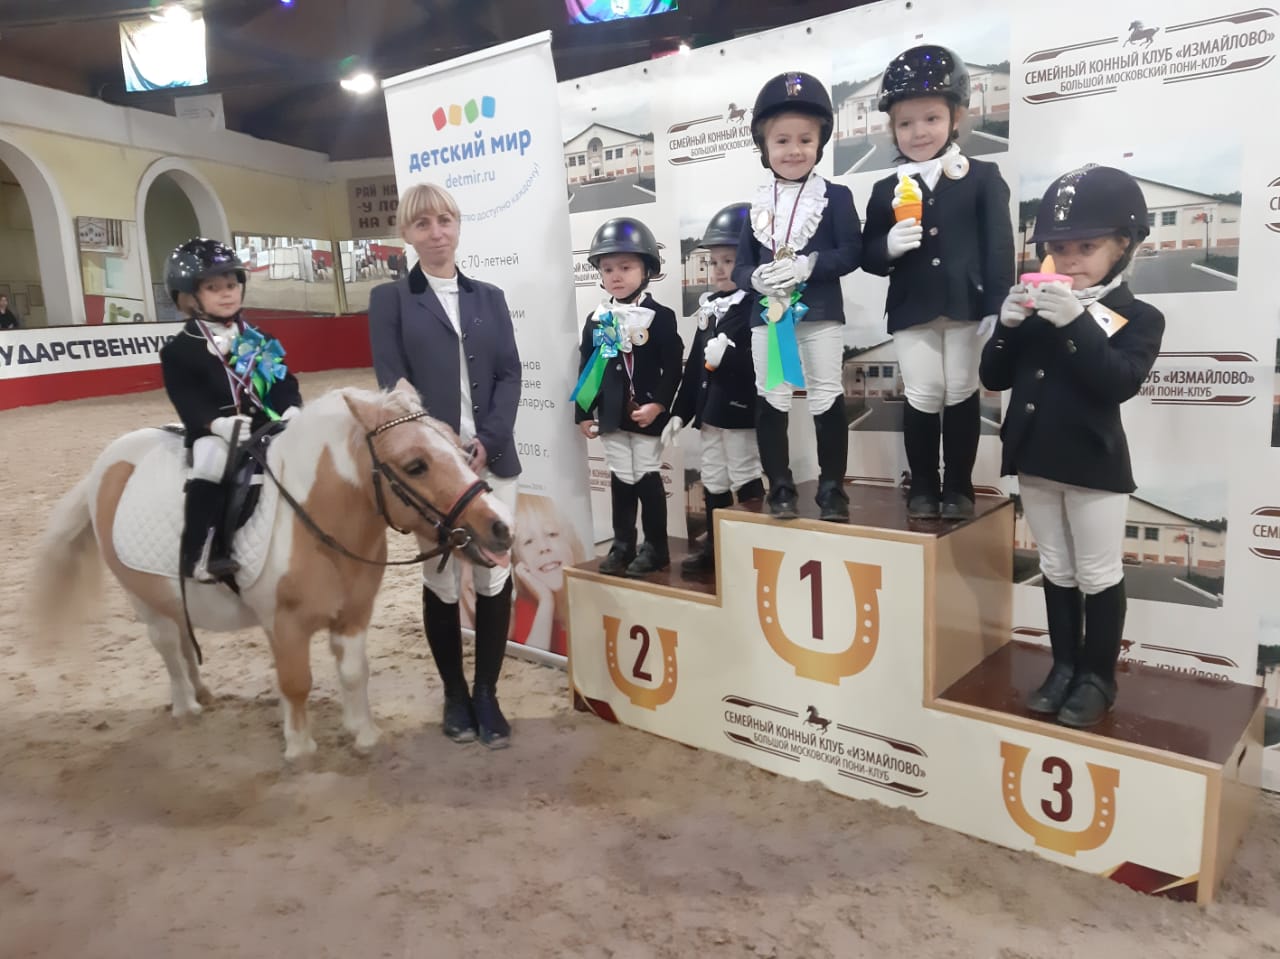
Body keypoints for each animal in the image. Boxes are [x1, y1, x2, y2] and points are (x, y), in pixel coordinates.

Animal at [30, 379, 514, 761]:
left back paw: (201, 691)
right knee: (166, 644)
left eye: (462, 449)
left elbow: (354, 673)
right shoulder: (285, 625)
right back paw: (186, 706)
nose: (501, 527)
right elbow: (295, 682)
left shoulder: (354, 616)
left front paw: (363, 736)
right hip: (141, 596)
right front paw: (299, 748)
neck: (314, 519)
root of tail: (108, 462)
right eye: (416, 465)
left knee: (183, 638)